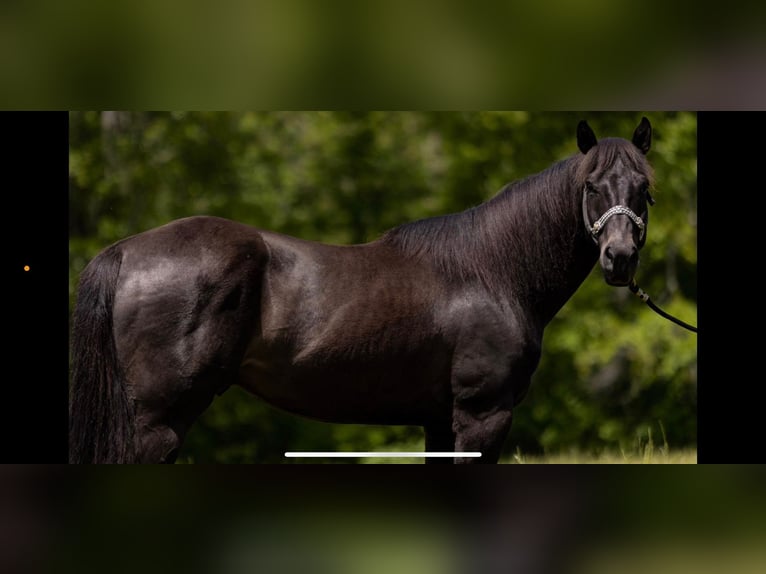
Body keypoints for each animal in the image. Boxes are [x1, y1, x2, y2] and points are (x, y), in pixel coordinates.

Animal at [70, 117, 656, 464]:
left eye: (644, 188)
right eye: (590, 186)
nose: (620, 258)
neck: (494, 273)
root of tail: (123, 252)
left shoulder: (440, 421)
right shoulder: (483, 416)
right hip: (156, 423)